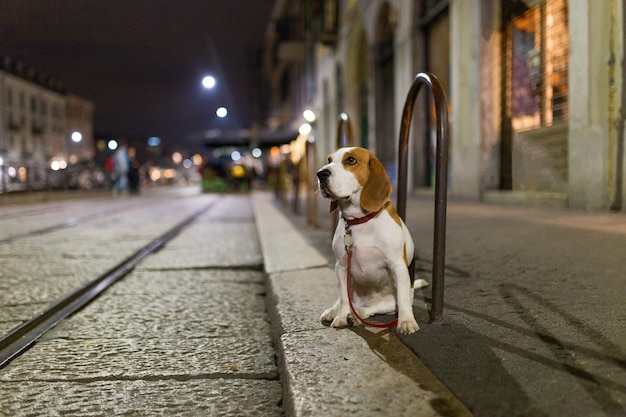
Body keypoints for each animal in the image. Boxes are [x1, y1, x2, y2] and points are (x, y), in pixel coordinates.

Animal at [314, 147, 426, 334]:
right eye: (329, 159)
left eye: (351, 160)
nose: (321, 174)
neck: (360, 221)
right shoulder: (341, 267)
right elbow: (343, 299)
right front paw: (341, 316)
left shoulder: (398, 266)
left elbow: (403, 301)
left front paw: (406, 322)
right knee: (343, 300)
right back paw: (336, 312)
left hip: (390, 303)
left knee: (371, 309)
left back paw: (357, 315)